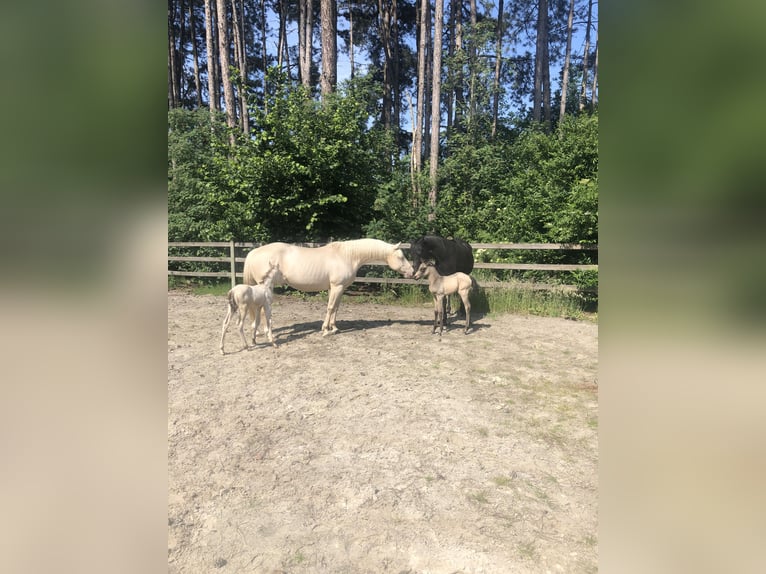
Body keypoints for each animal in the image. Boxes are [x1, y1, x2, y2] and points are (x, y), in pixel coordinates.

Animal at [242, 239, 414, 335]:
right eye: (401, 257)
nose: (412, 272)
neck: (347, 256)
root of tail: (254, 251)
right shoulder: (337, 286)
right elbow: (331, 307)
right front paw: (325, 330)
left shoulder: (338, 288)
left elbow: (336, 307)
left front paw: (334, 328)